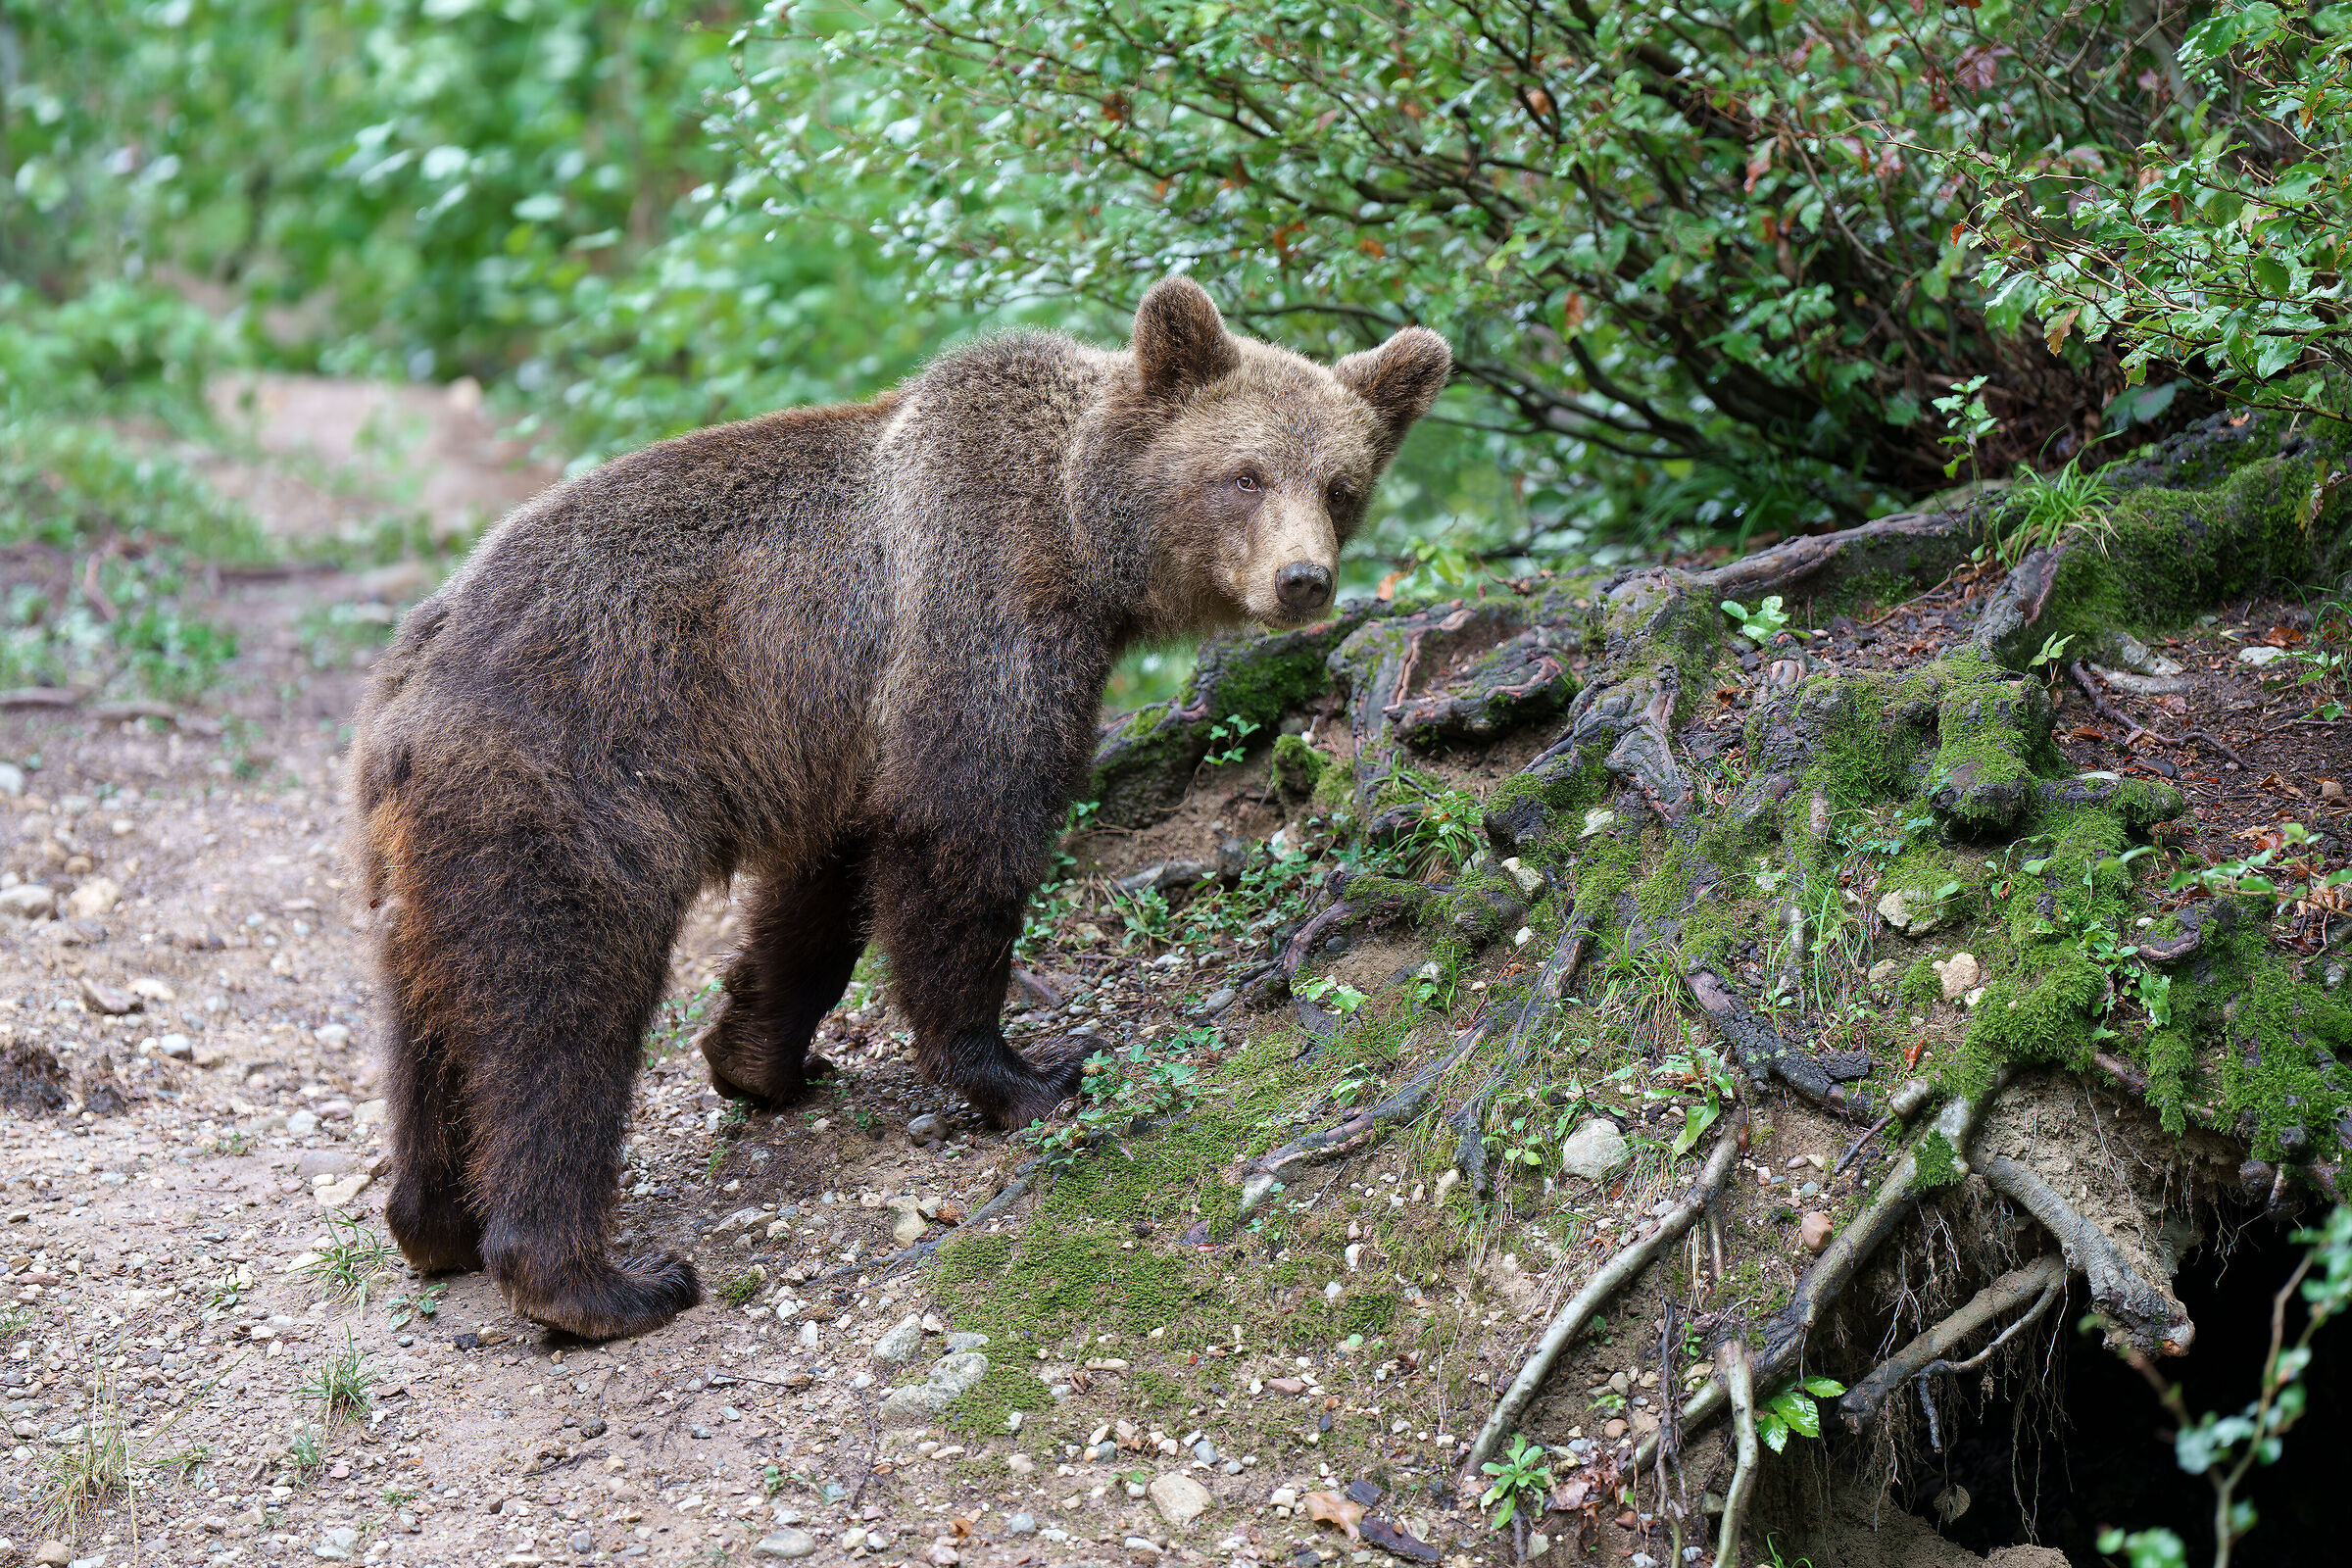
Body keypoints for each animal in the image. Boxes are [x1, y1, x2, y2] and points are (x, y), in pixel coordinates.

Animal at [346, 277, 1451, 1339]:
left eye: (1342, 485)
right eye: (1246, 474)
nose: (1303, 579)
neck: (1081, 543)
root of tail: (411, 683)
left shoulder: (844, 742)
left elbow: (821, 896)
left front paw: (761, 1056)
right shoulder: (980, 620)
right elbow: (963, 838)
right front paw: (1028, 1072)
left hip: (421, 848)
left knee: (428, 1011)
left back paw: (434, 1222)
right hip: (565, 786)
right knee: (561, 1005)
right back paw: (601, 1280)